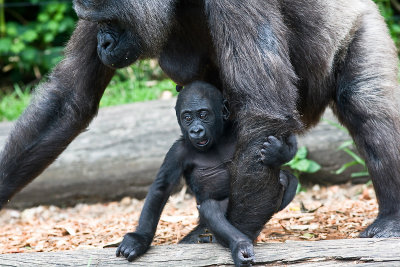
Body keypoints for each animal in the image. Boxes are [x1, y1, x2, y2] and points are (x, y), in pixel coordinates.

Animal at [0, 0, 400, 243]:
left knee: (366, 105)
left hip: (359, 18)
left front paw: (233, 235)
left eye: (110, 22)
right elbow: (68, 99)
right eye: (95, 24)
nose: (103, 43)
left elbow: (262, 110)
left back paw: (391, 218)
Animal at [115, 82, 296, 267]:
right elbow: (161, 188)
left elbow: (286, 134)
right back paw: (239, 244)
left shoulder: (236, 128)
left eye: (203, 115)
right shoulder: (177, 152)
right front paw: (139, 239)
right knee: (210, 209)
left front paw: (278, 152)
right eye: (187, 117)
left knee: (288, 179)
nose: (196, 130)